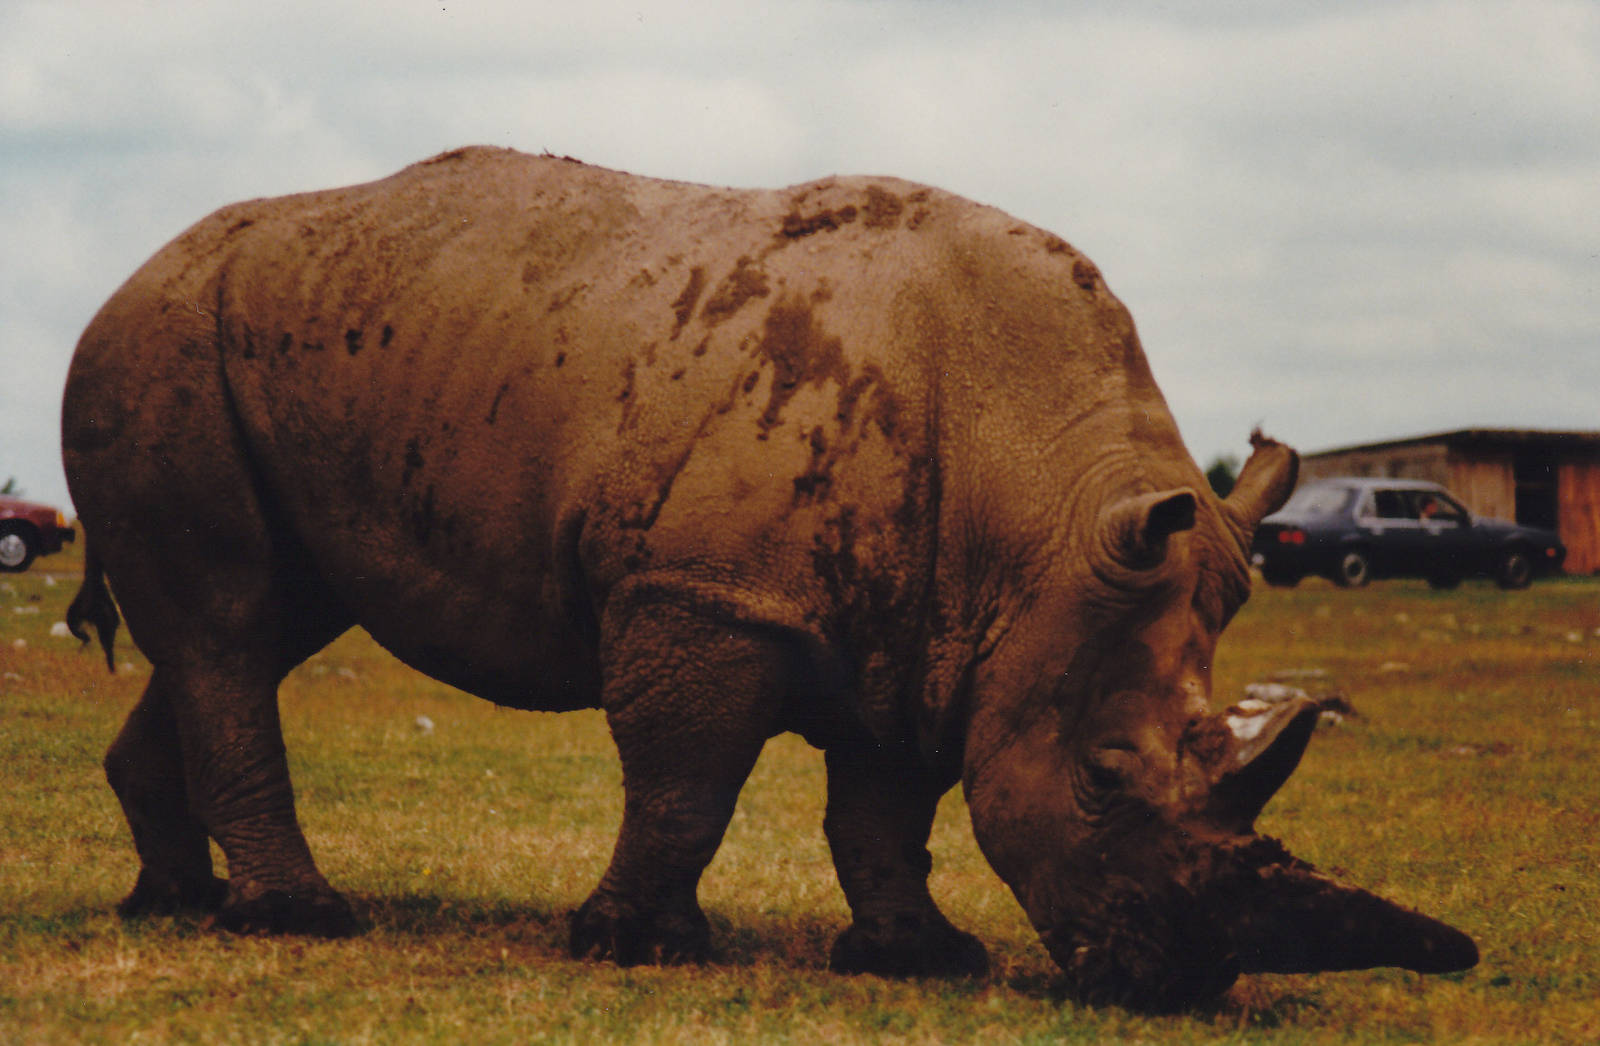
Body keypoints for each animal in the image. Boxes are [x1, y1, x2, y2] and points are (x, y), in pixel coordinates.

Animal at [62, 147, 1476, 1009]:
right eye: (1100, 778)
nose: (1169, 983)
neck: (1040, 514)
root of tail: (131, 272)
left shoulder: (943, 633)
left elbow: (885, 810)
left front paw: (917, 960)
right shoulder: (708, 597)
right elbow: (689, 785)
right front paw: (634, 946)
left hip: (277, 345)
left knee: (253, 626)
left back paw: (178, 903)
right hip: (159, 341)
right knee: (234, 623)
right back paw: (301, 921)